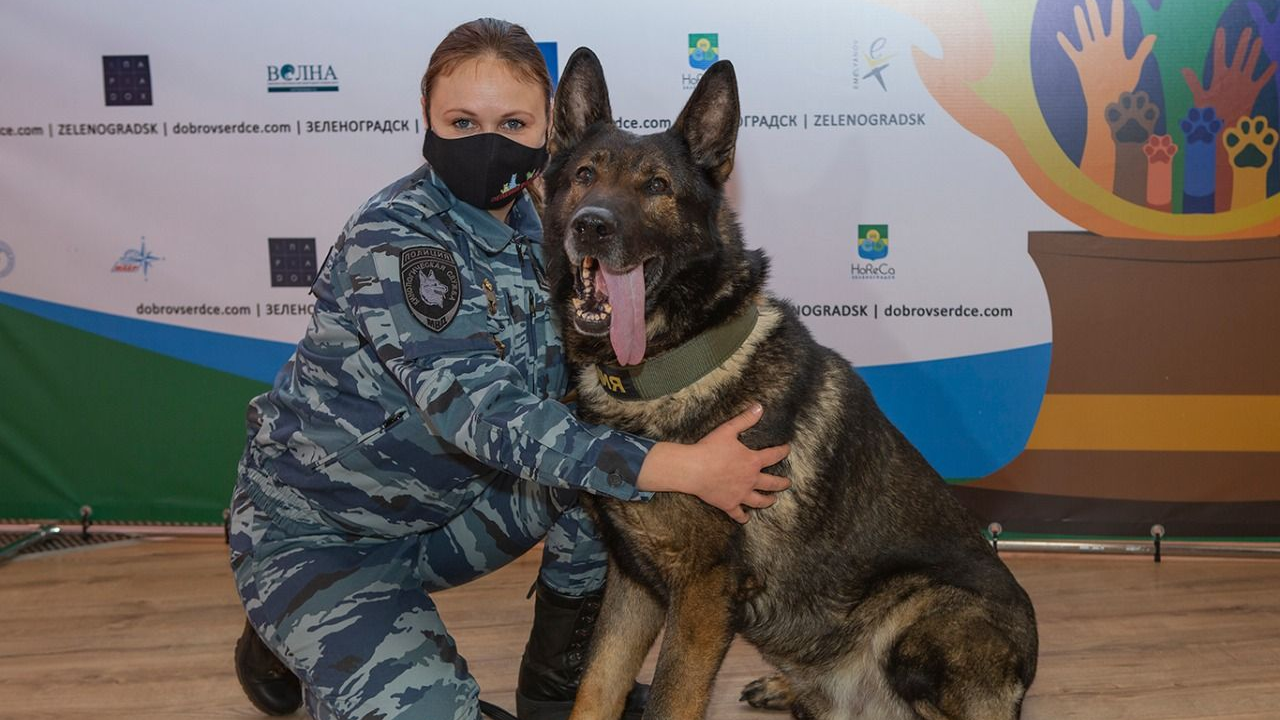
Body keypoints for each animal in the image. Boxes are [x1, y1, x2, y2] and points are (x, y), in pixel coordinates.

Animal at [542, 46, 1039, 717]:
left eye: (657, 187)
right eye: (584, 175)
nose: (591, 226)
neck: (671, 366)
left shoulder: (702, 591)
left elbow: (673, 697)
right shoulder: (633, 583)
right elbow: (596, 687)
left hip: (923, 613)